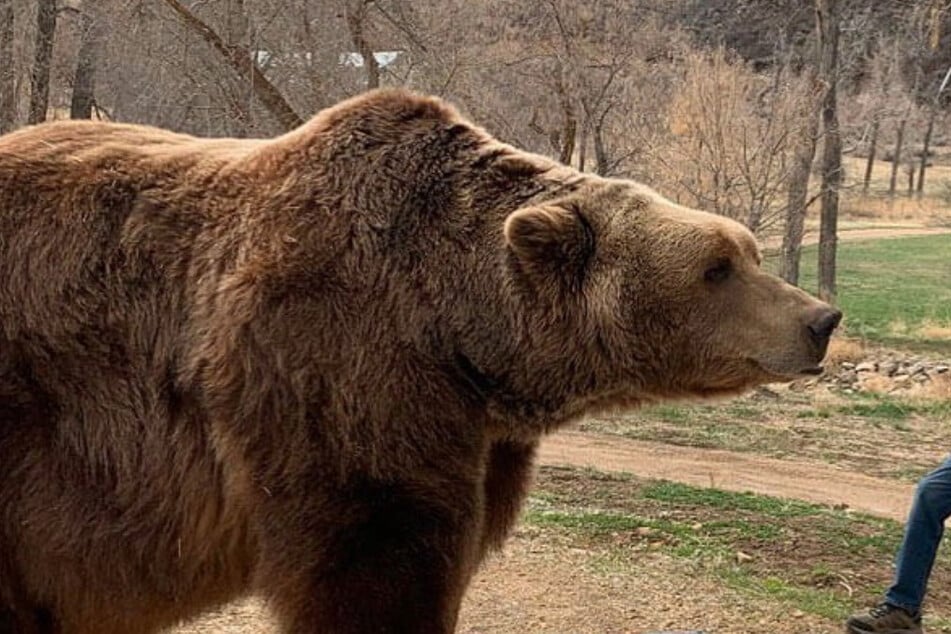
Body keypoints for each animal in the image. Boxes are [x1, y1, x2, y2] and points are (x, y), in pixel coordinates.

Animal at [0, 90, 836, 632]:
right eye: (716, 267)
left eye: (746, 250)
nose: (820, 319)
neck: (463, 329)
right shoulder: (333, 368)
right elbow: (371, 560)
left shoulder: (478, 433)